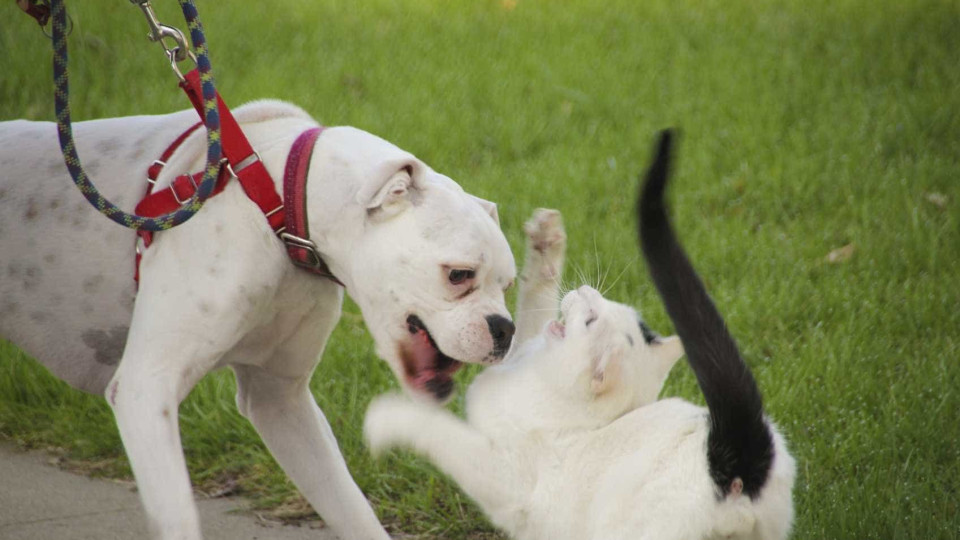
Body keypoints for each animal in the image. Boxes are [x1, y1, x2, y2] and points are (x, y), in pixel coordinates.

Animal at [0, 99, 516, 536]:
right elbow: (178, 515)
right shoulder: (147, 389)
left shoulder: (280, 400)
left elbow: (353, 510)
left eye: (508, 286)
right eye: (459, 275)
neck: (276, 201)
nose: (505, 329)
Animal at [364, 132, 800, 540]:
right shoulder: (520, 342)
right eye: (612, 307)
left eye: (590, 320)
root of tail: (737, 459)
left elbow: (437, 430)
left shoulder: (502, 478)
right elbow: (534, 303)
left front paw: (384, 417)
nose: (588, 291)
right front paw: (546, 239)